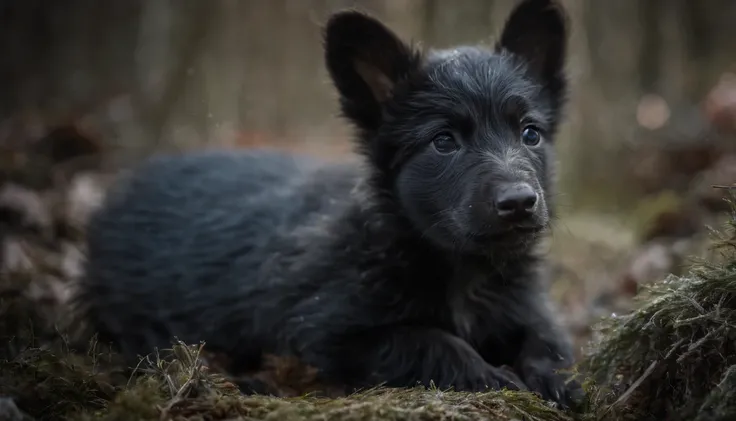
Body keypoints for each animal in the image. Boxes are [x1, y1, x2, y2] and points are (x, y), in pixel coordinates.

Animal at [75, 0, 580, 406]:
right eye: (444, 141)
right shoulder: (330, 330)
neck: (461, 269)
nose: (520, 202)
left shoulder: (522, 305)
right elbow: (430, 340)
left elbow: (547, 337)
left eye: (530, 133)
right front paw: (495, 377)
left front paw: (560, 378)